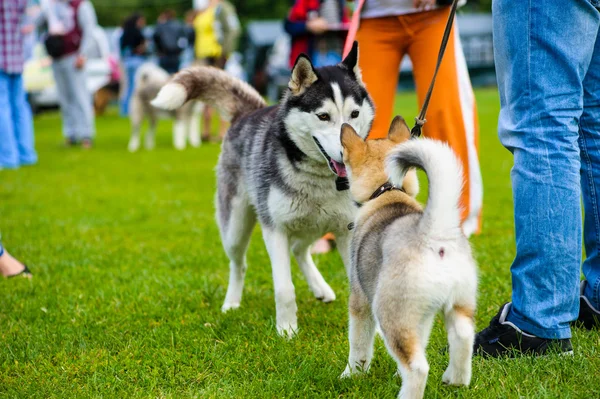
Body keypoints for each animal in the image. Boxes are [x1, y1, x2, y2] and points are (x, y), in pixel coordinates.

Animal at [338, 119, 478, 399]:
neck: (387, 192)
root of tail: (432, 232)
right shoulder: (421, 316)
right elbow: (421, 341)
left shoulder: (359, 300)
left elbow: (358, 345)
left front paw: (351, 375)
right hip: (459, 302)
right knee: (463, 336)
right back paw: (455, 379)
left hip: (389, 314)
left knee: (417, 368)